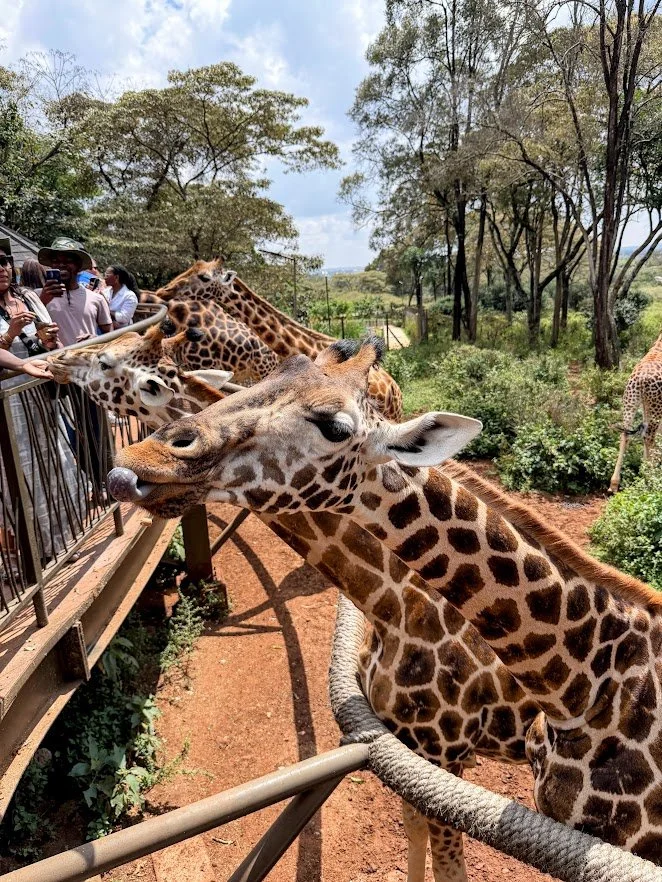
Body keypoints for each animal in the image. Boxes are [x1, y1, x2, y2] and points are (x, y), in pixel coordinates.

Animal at [54, 324, 539, 881]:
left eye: (118, 367)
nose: (139, 460)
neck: (397, 608)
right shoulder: (409, 747)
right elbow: (413, 828)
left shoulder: (447, 748)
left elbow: (449, 866)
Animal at [609, 333, 662, 492]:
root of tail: (641, 380)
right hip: (654, 408)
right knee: (649, 437)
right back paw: (650, 477)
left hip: (630, 402)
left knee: (626, 434)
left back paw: (614, 483)